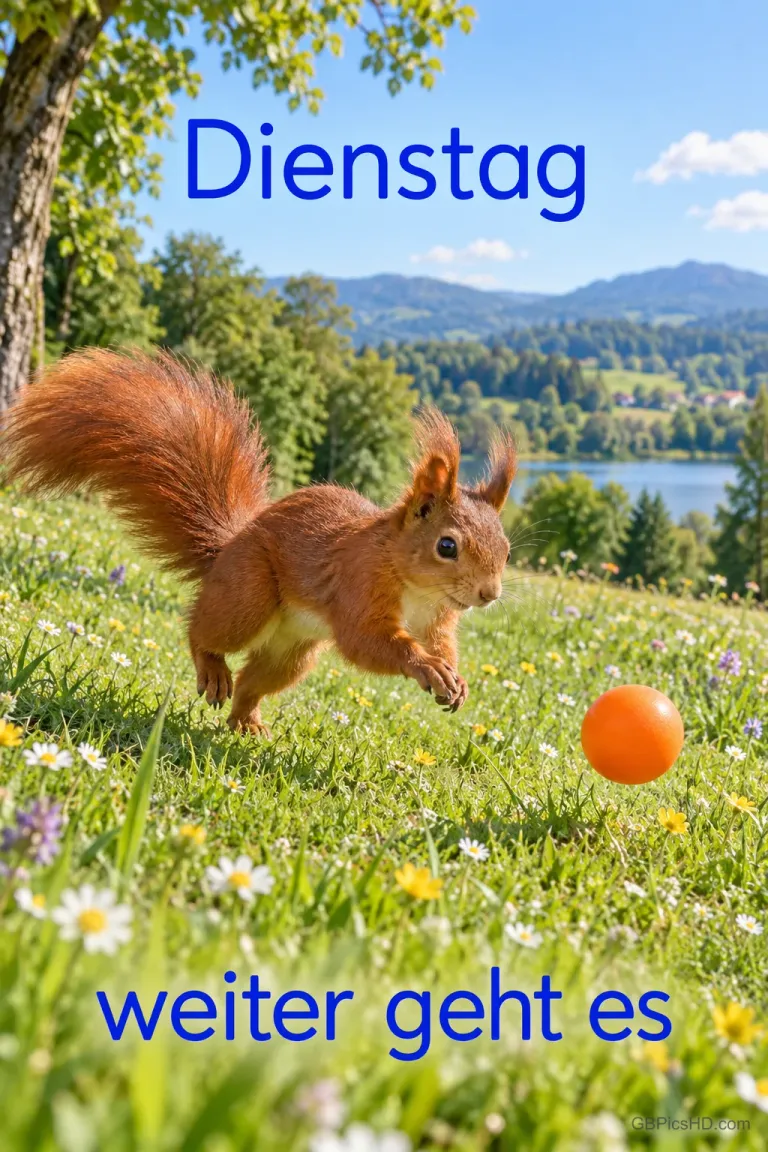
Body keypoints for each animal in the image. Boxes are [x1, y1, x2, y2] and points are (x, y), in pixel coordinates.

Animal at [4, 348, 516, 736]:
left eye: (507, 548)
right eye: (446, 546)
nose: (489, 594)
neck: (414, 583)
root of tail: (228, 547)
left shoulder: (438, 619)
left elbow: (441, 644)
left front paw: (455, 678)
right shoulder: (359, 584)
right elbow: (369, 641)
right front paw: (426, 668)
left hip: (291, 651)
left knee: (254, 681)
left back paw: (246, 722)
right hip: (248, 595)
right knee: (203, 629)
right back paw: (212, 669)